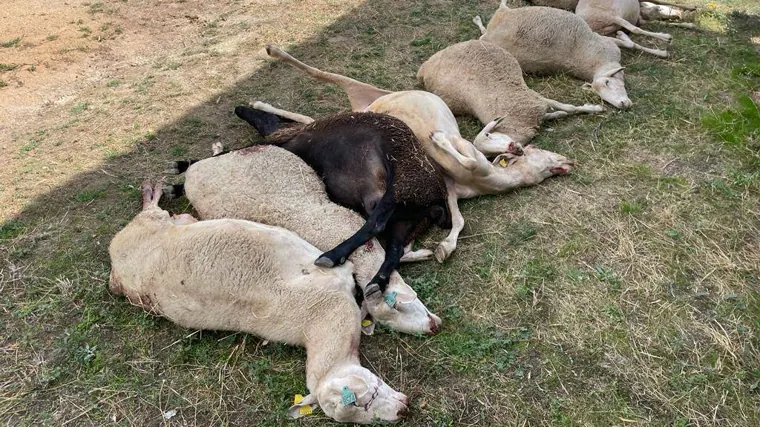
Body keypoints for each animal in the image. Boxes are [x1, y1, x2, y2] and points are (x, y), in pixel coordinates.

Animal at [107, 181, 410, 424]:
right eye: (358, 406)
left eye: (359, 399)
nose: (401, 411)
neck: (320, 323)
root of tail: (114, 273)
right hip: (144, 234)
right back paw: (152, 192)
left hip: (151, 227)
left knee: (159, 213)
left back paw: (152, 191)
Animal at [416, 39, 604, 155]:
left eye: (489, 135)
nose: (515, 148)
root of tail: (424, 67)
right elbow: (562, 111)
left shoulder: (539, 100)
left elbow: (569, 107)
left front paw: (594, 108)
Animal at [476, 2, 628, 108]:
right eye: (607, 83)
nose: (622, 104)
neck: (601, 63)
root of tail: (491, 33)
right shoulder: (607, 42)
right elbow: (629, 44)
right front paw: (623, 35)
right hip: (502, 13)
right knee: (500, 7)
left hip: (494, 26)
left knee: (483, 32)